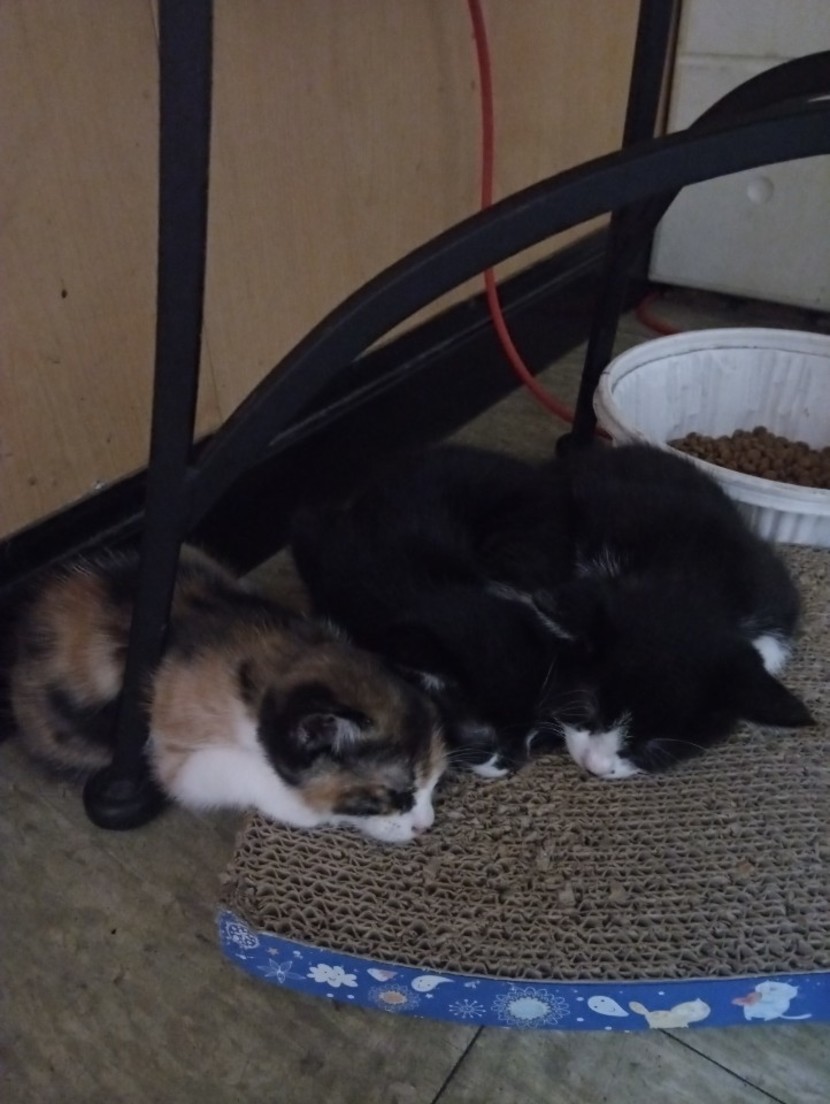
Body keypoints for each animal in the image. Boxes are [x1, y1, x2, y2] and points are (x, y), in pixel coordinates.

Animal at [8, 546, 446, 844]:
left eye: (435, 782)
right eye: (395, 794)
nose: (426, 824)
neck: (278, 661)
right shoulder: (175, 754)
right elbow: (245, 777)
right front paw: (307, 805)